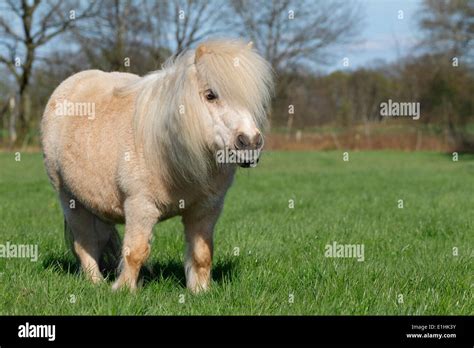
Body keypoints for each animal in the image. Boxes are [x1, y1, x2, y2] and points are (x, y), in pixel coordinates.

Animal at [40, 39, 274, 292]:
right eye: (210, 95)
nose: (250, 143)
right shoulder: (140, 206)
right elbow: (135, 252)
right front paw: (123, 290)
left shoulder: (206, 210)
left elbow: (202, 254)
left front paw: (200, 292)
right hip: (70, 200)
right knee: (85, 244)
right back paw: (97, 283)